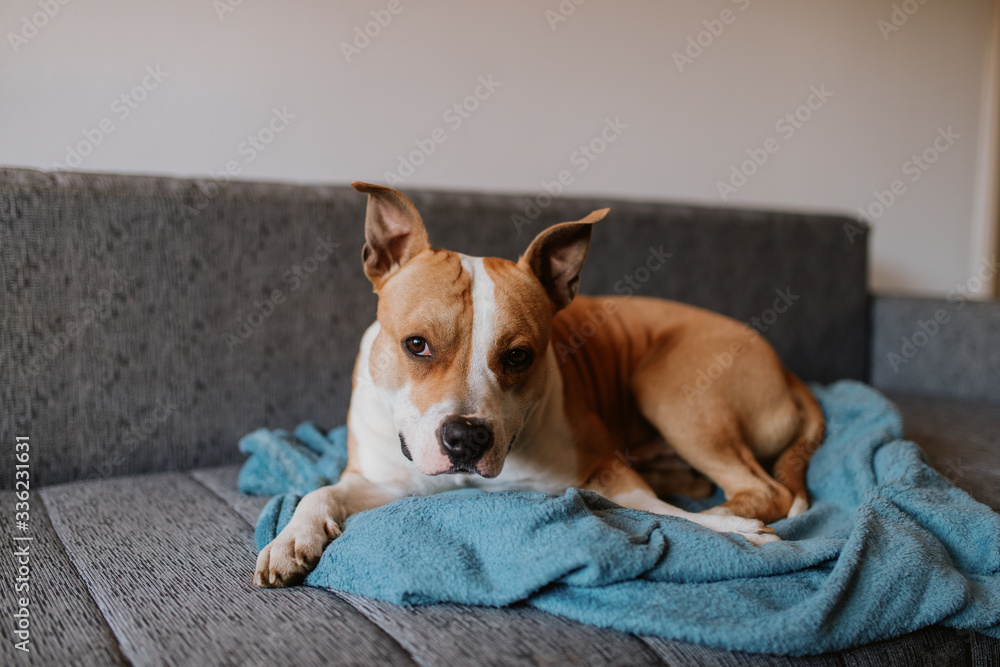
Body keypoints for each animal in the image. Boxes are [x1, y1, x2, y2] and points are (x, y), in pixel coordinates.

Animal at [254, 180, 824, 588]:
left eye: (518, 356)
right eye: (416, 345)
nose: (465, 439)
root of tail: (788, 371)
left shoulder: (605, 467)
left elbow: (655, 511)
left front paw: (731, 534)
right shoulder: (383, 482)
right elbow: (323, 492)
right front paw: (292, 539)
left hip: (672, 387)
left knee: (763, 489)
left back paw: (724, 513)